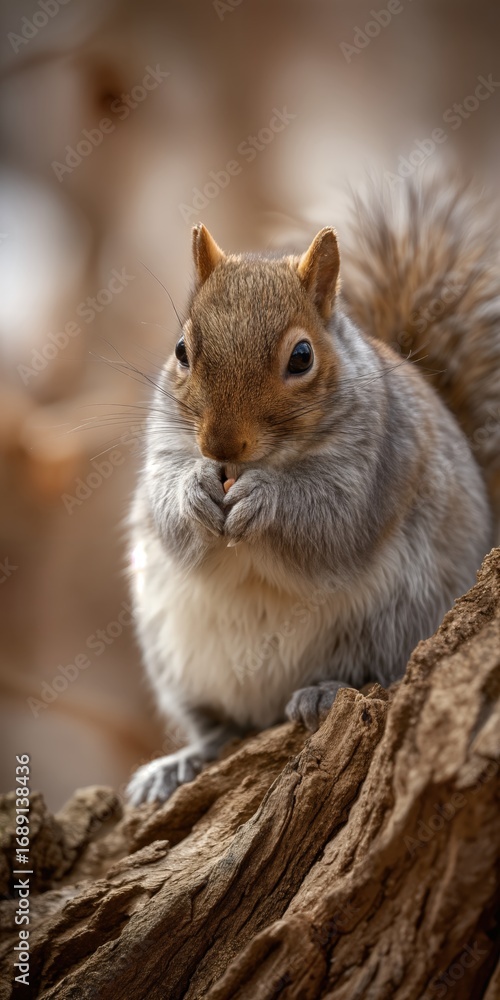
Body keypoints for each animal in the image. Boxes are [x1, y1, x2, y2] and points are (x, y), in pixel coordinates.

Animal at [126, 174, 498, 806]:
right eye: (181, 351)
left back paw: (323, 691)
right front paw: (194, 490)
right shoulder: (165, 447)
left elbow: (330, 524)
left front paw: (265, 500)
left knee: (375, 672)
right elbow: (168, 511)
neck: (266, 462)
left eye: (302, 357)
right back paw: (181, 762)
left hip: (399, 617)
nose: (220, 447)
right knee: (219, 726)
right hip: (176, 661)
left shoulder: (375, 464)